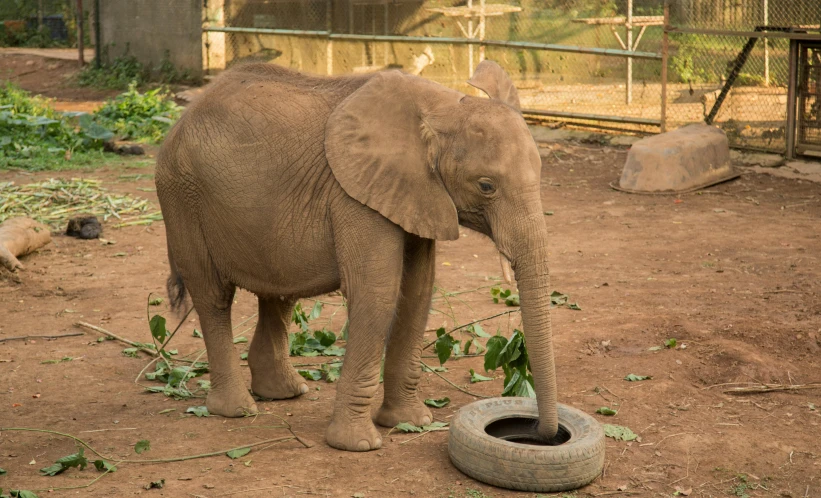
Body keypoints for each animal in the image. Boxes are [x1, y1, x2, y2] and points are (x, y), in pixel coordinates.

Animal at [155, 59, 556, 452]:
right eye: (486, 186)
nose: (539, 434)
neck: (443, 107)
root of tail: (184, 115)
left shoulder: (415, 194)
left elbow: (417, 293)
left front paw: (412, 423)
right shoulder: (356, 195)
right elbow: (376, 293)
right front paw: (358, 444)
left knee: (279, 295)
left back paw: (285, 393)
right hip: (181, 193)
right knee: (214, 297)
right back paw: (237, 410)